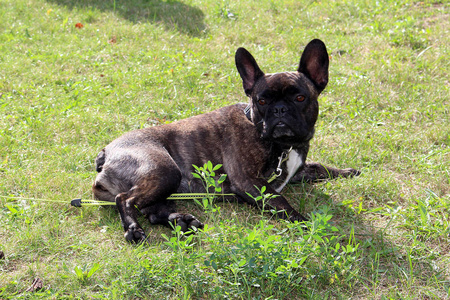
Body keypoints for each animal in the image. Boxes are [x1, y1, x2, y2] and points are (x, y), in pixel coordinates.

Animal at [93, 38, 360, 243]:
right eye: (261, 101)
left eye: (300, 97)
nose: (279, 110)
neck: (284, 145)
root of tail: (107, 151)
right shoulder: (249, 181)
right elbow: (281, 201)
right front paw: (306, 223)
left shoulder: (297, 169)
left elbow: (320, 167)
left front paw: (347, 171)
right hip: (164, 170)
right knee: (126, 199)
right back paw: (134, 229)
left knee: (151, 211)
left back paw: (182, 221)